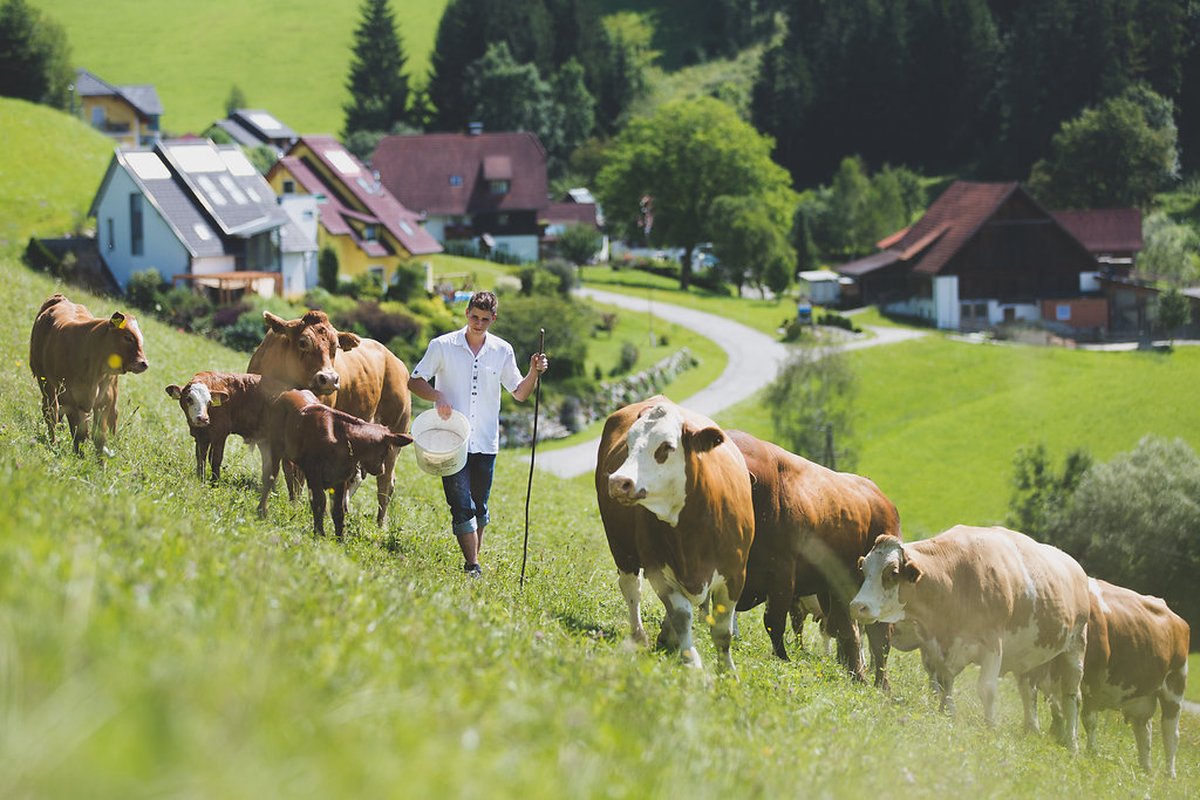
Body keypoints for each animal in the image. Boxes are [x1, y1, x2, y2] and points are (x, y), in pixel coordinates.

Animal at [29, 293, 149, 455]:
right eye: (128, 337)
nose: (144, 363)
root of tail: (61, 298)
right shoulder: (72, 400)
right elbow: (80, 434)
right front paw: (78, 456)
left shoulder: (103, 402)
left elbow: (99, 436)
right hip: (45, 381)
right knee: (51, 410)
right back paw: (53, 442)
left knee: (113, 416)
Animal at [244, 309, 412, 527]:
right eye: (303, 342)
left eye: (335, 347)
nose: (330, 379)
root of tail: (395, 361)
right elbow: (274, 465)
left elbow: (297, 473)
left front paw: (295, 503)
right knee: (356, 477)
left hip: (394, 438)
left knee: (385, 483)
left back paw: (380, 523)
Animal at [597, 398, 753, 671]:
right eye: (629, 443)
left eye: (666, 447)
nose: (618, 482)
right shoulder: (658, 568)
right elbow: (681, 615)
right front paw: (691, 660)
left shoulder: (735, 575)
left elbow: (723, 630)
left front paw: (727, 670)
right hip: (621, 548)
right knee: (631, 589)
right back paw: (640, 636)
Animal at [720, 431, 902, 690]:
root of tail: (880, 497)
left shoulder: (782, 576)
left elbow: (773, 622)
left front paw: (782, 659)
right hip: (834, 592)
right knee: (848, 632)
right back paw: (856, 675)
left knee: (879, 639)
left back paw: (881, 685)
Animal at [849, 525, 1094, 753]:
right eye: (864, 568)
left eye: (891, 572)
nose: (857, 606)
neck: (956, 579)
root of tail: (1077, 568)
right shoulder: (938, 646)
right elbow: (945, 684)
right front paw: (948, 716)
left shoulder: (992, 644)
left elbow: (987, 689)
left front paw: (990, 728)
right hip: (1028, 656)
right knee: (1028, 691)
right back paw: (1031, 730)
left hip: (1075, 647)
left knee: (1072, 696)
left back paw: (1072, 744)